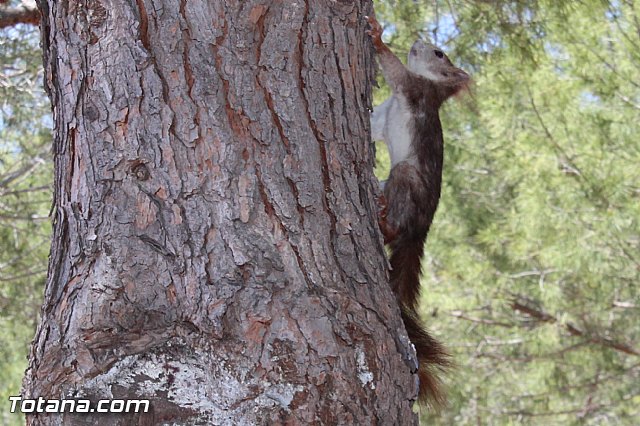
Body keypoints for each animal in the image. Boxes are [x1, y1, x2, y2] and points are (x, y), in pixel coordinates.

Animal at [364, 14, 470, 406]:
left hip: (404, 177)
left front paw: (379, 37)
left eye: (439, 53)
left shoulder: (412, 89)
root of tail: (422, 228)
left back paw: (383, 221)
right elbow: (372, 126)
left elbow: (394, 69)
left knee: (395, 227)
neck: (433, 85)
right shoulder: (383, 115)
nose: (419, 41)